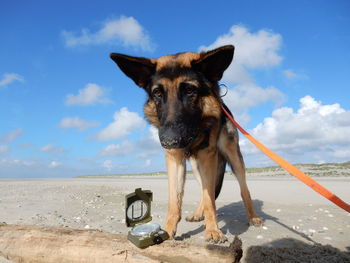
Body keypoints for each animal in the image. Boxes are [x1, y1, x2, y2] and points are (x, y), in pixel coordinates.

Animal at [110, 45, 262, 243]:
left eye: (190, 90)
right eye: (157, 93)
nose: (169, 141)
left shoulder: (208, 157)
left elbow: (211, 199)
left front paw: (213, 230)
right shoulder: (175, 159)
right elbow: (176, 201)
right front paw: (167, 230)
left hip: (234, 159)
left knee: (243, 190)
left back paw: (253, 217)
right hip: (197, 167)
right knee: (206, 190)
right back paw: (198, 213)